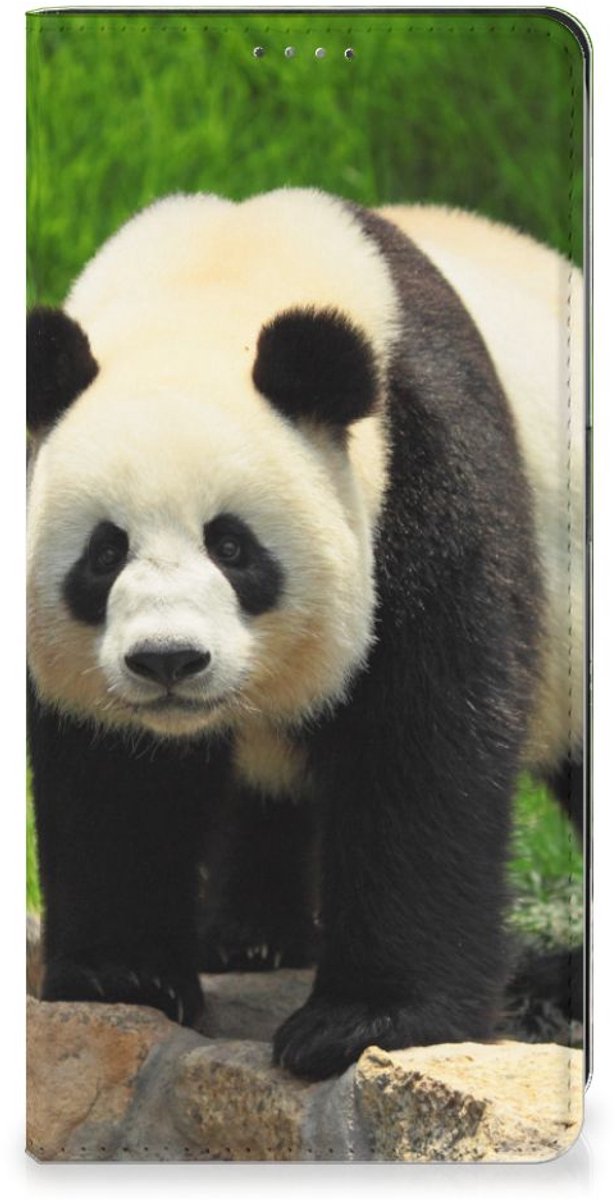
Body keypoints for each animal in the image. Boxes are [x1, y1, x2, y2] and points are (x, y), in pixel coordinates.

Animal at [26, 188, 584, 1080]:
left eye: (232, 546)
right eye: (104, 553)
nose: (168, 661)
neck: (215, 277)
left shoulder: (425, 470)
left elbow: (420, 742)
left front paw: (364, 1022)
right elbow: (112, 772)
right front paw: (124, 977)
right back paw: (249, 937)